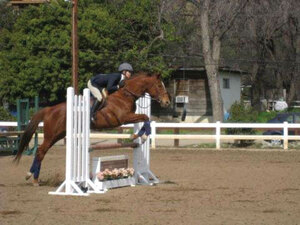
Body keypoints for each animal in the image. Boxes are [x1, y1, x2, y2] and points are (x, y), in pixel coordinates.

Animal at [14, 72, 169, 185]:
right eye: (159, 86)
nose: (167, 102)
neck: (126, 94)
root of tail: (49, 109)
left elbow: (145, 118)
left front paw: (137, 136)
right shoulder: (124, 118)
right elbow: (145, 117)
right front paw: (141, 136)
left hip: (58, 134)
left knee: (41, 151)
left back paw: (31, 176)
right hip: (52, 134)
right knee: (41, 151)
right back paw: (33, 178)